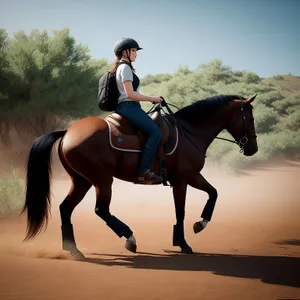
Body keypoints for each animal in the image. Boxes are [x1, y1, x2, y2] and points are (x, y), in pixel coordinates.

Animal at [22, 94, 258, 260]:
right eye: (250, 117)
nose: (253, 149)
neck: (190, 132)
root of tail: (67, 132)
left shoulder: (191, 176)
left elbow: (213, 193)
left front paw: (200, 224)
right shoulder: (183, 180)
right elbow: (180, 211)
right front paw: (183, 242)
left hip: (82, 181)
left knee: (66, 209)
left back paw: (74, 250)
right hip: (101, 180)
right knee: (101, 210)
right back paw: (129, 238)